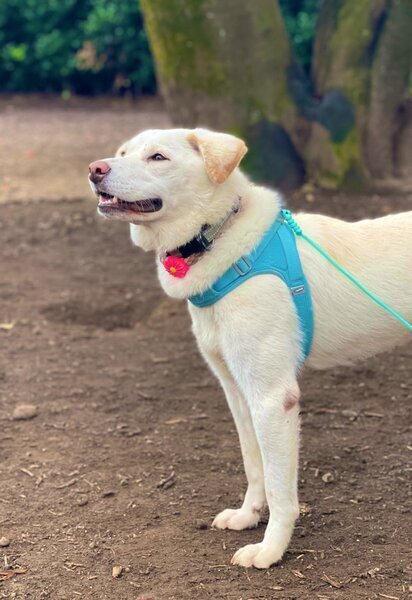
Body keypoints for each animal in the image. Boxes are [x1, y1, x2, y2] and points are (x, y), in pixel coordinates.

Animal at [88, 128, 411, 569]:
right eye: (122, 152)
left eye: (157, 157)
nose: (95, 169)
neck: (217, 237)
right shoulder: (238, 393)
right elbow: (253, 464)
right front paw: (248, 516)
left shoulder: (273, 398)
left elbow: (279, 488)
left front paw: (270, 550)